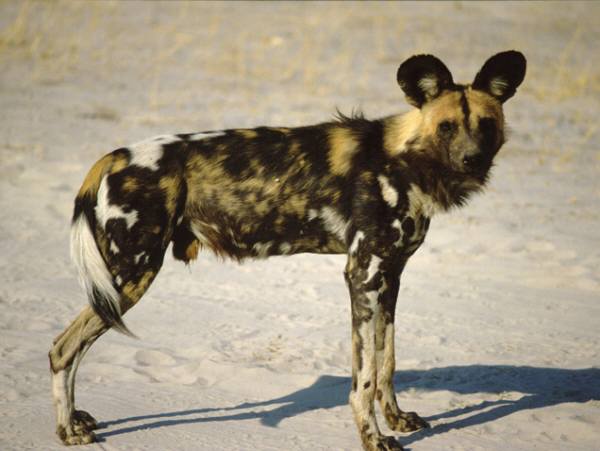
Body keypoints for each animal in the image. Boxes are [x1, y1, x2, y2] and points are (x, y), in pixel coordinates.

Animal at [50, 51, 524, 450]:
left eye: (485, 125)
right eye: (447, 127)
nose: (472, 160)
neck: (406, 161)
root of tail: (113, 156)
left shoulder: (390, 276)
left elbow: (386, 361)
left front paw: (397, 419)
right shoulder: (362, 275)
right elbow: (364, 379)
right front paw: (373, 437)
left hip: (119, 284)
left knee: (69, 346)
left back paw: (74, 421)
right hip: (131, 275)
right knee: (62, 348)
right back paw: (68, 430)